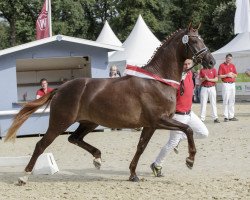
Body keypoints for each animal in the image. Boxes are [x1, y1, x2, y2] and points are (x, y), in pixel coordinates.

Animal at [3, 24, 215, 184]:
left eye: (202, 39)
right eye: (194, 41)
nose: (211, 61)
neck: (158, 80)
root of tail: (61, 88)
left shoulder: (150, 125)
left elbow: (141, 147)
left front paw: (133, 174)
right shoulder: (159, 120)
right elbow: (188, 129)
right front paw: (190, 159)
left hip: (89, 122)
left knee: (74, 138)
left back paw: (97, 158)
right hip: (59, 123)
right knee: (41, 145)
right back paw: (24, 176)